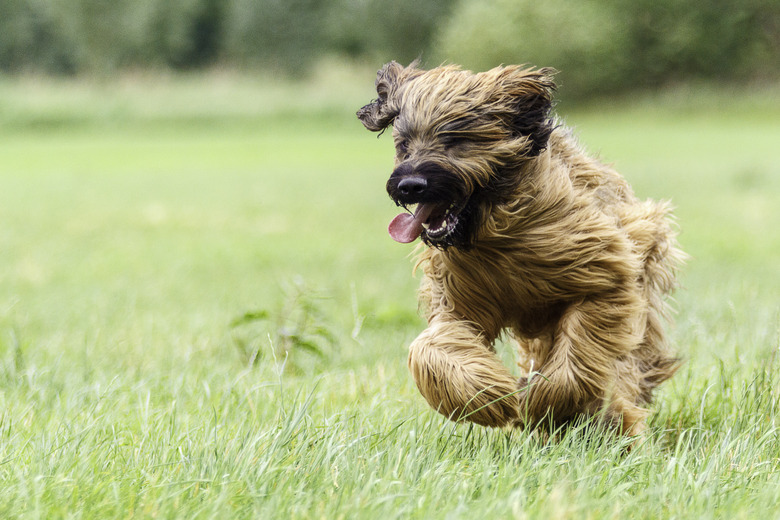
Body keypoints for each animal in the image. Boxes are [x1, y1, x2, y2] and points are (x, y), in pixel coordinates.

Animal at [356, 60, 680, 434]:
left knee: (626, 367)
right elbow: (432, 348)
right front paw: (488, 397)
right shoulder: (458, 296)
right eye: (404, 144)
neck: (494, 234)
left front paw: (547, 402)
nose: (409, 186)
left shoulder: (605, 270)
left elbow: (581, 348)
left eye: (455, 139)